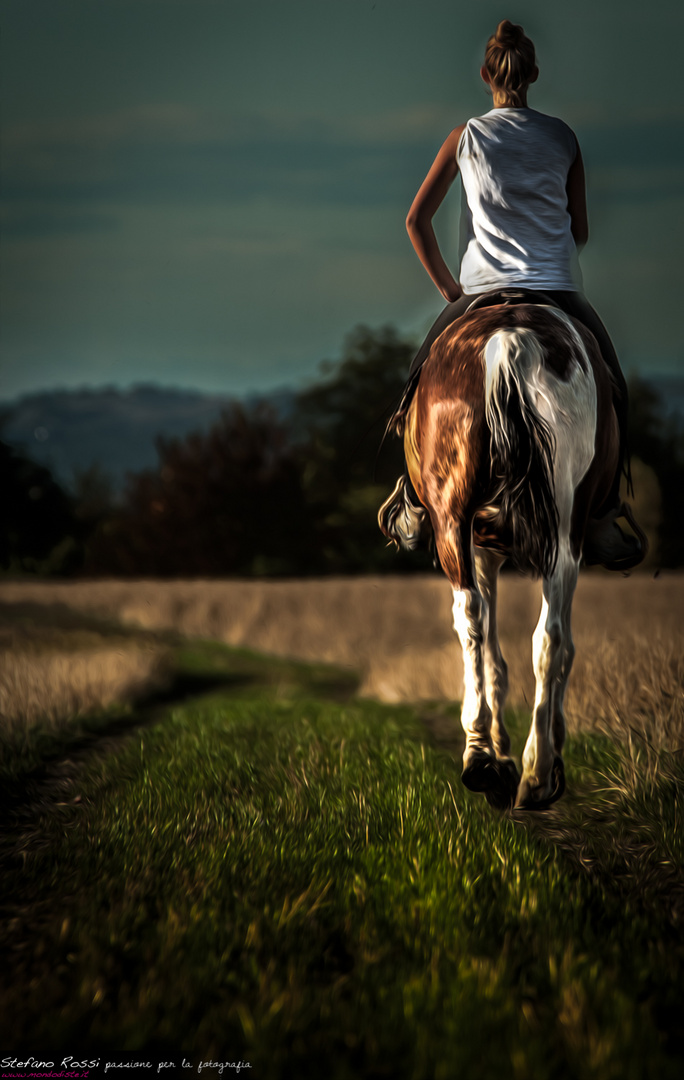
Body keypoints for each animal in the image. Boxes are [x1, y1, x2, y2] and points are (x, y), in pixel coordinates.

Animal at [378, 293, 622, 812]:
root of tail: (509, 344)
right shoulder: (494, 547)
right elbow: (530, 648)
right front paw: (525, 750)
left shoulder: (478, 545)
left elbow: (492, 648)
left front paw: (501, 753)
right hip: (558, 532)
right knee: (547, 637)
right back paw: (536, 772)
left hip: (456, 521)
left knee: (475, 621)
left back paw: (485, 761)